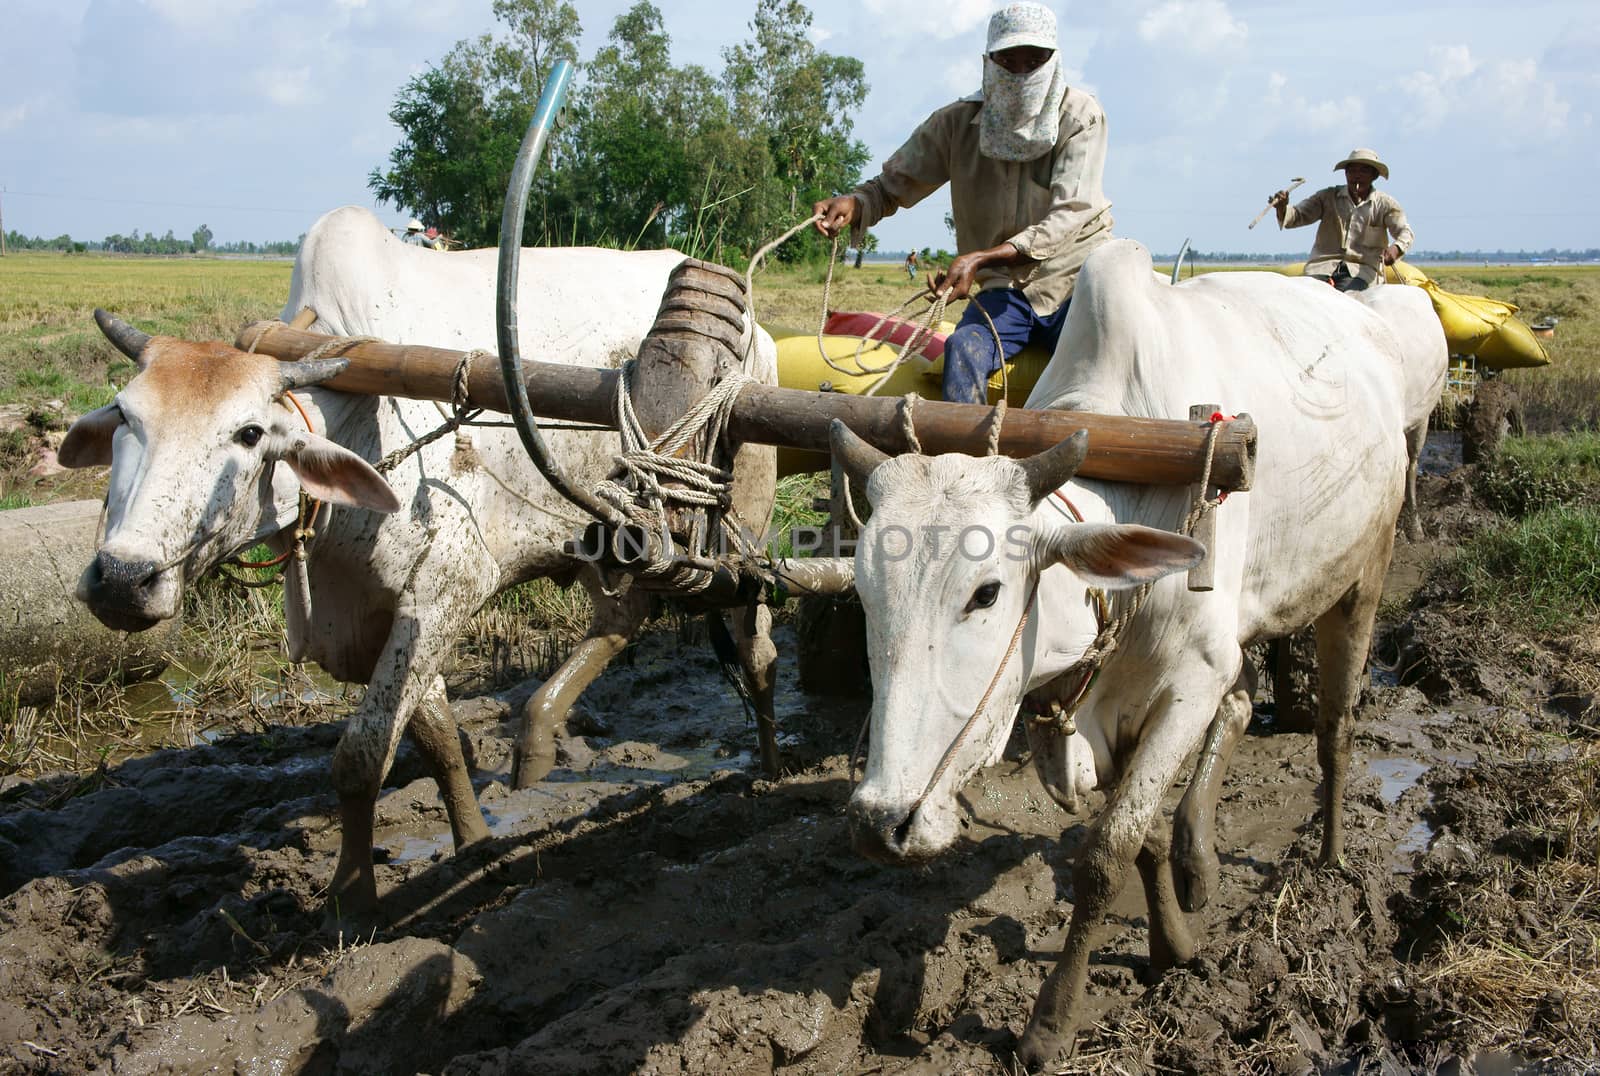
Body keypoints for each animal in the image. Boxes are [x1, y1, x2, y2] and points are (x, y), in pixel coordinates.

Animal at [62, 206, 780, 922]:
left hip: (740, 531)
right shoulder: (392, 611)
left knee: (756, 646)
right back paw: (537, 736)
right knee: (622, 616)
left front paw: (351, 901)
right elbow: (438, 740)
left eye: (248, 433)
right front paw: (475, 843)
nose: (122, 580)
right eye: (124, 415)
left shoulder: (442, 593)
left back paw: (771, 766)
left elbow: (361, 755)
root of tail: (762, 336)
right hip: (603, 539)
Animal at [832, 240, 1420, 1063]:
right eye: (861, 592)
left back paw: (1332, 865)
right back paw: (1200, 860)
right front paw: (1175, 943)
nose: (880, 823)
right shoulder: (1110, 714)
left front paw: (1050, 1024)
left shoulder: (1188, 684)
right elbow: (1142, 837)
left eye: (987, 593)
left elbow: (1107, 852)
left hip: (1361, 574)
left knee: (1334, 729)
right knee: (1243, 706)